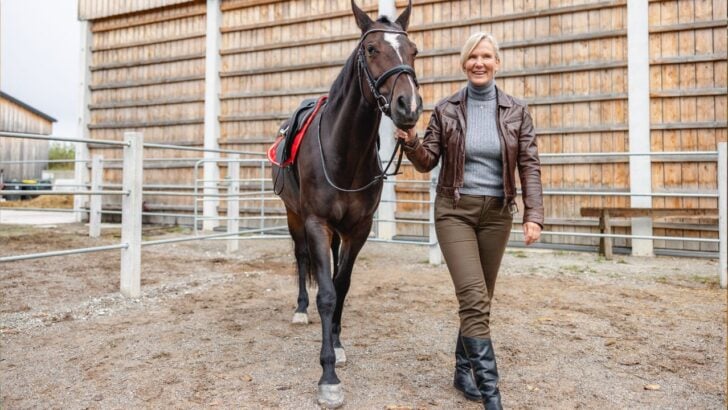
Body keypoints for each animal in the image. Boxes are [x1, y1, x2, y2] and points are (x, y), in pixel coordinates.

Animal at [270, 1, 422, 407]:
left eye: (414, 51)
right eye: (371, 49)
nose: (408, 106)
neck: (345, 152)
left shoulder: (358, 229)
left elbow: (342, 285)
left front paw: (337, 346)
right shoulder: (316, 223)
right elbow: (325, 293)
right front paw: (328, 378)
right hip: (294, 216)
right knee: (302, 260)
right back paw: (300, 310)